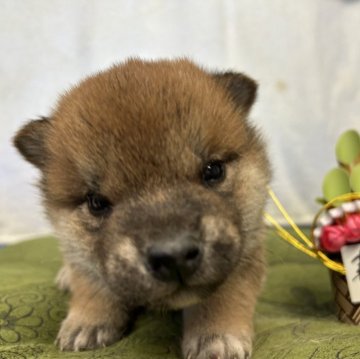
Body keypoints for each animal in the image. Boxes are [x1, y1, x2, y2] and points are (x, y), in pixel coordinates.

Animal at [15, 57, 272, 358]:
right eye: (96, 202)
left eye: (213, 170)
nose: (174, 256)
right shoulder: (86, 258)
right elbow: (92, 283)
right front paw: (87, 322)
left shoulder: (245, 248)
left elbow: (225, 292)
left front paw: (216, 335)